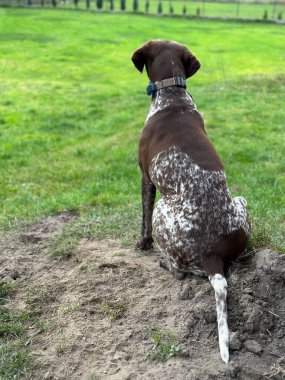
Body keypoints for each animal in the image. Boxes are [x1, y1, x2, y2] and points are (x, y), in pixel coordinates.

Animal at [130, 40, 248, 364]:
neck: (173, 96)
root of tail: (212, 255)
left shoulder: (146, 178)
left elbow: (143, 219)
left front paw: (142, 244)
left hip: (163, 212)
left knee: (179, 270)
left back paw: (163, 261)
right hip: (242, 201)